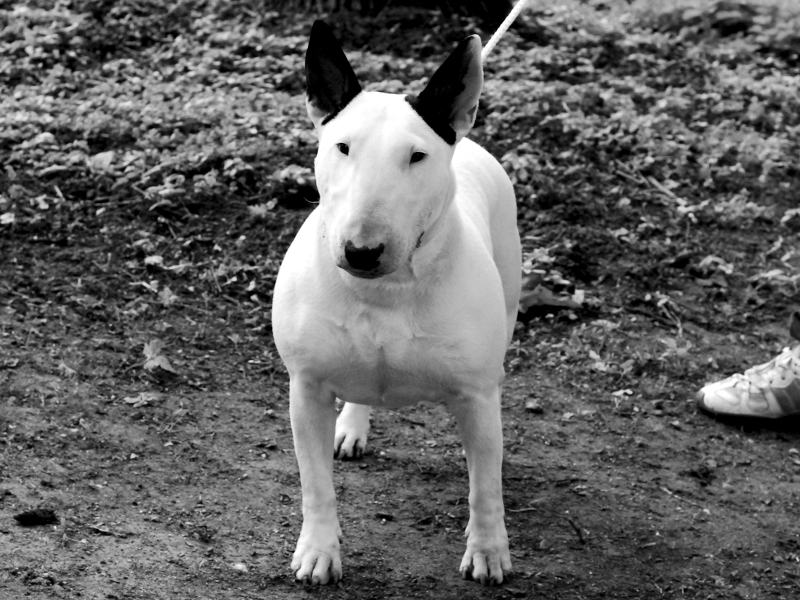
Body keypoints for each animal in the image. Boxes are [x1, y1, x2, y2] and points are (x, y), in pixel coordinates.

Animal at [272, 20, 521, 585]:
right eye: (342, 147)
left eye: (416, 156)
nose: (361, 251)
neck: (383, 292)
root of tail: (467, 142)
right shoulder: (307, 389)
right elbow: (316, 486)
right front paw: (319, 552)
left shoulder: (476, 396)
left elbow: (485, 487)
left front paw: (489, 552)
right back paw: (351, 427)